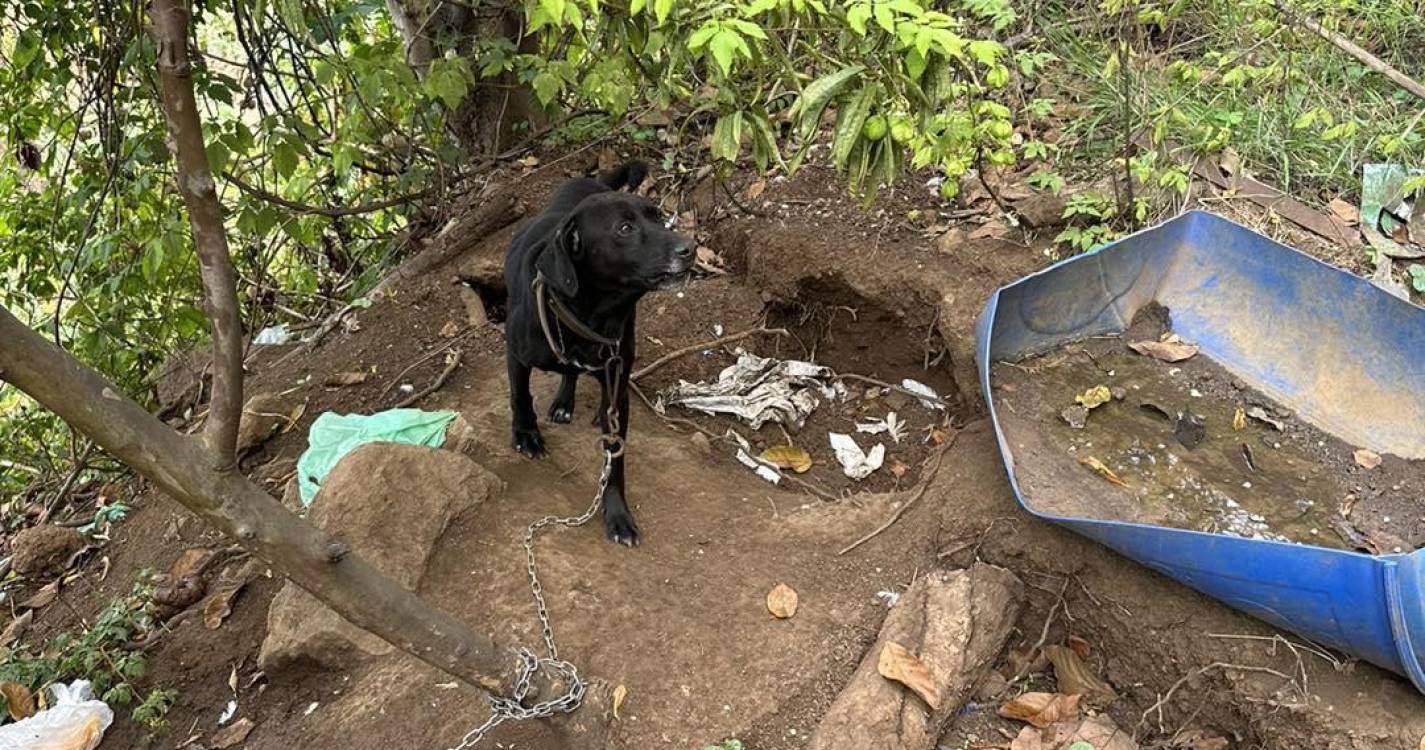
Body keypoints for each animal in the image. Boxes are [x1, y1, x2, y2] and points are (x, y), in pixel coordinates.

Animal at [507, 161, 695, 547]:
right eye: (625, 228)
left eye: (659, 217)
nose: (691, 247)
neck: (586, 314)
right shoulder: (515, 353)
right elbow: (520, 395)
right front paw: (526, 434)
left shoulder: (616, 367)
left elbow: (615, 457)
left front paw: (617, 513)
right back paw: (563, 403)